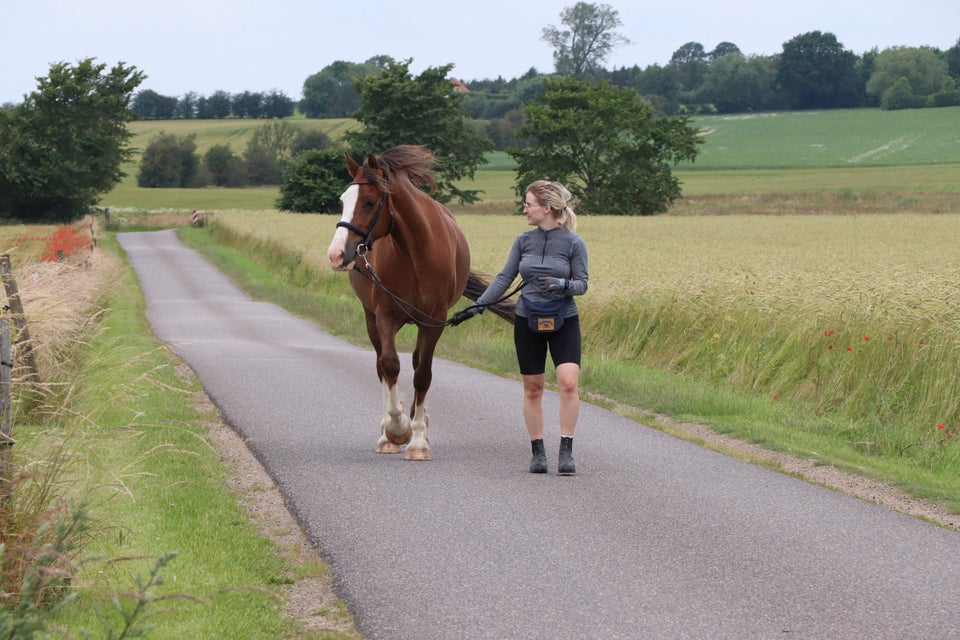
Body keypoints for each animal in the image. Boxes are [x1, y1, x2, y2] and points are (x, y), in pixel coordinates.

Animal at [326, 146, 512, 460]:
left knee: (415, 364)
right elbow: (389, 364)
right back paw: (387, 432)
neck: (415, 254)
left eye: (369, 201)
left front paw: (418, 439)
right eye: (342, 201)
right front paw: (397, 429)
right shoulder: (385, 315)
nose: (337, 254)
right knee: (381, 364)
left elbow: (423, 374)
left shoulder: (434, 321)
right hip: (370, 318)